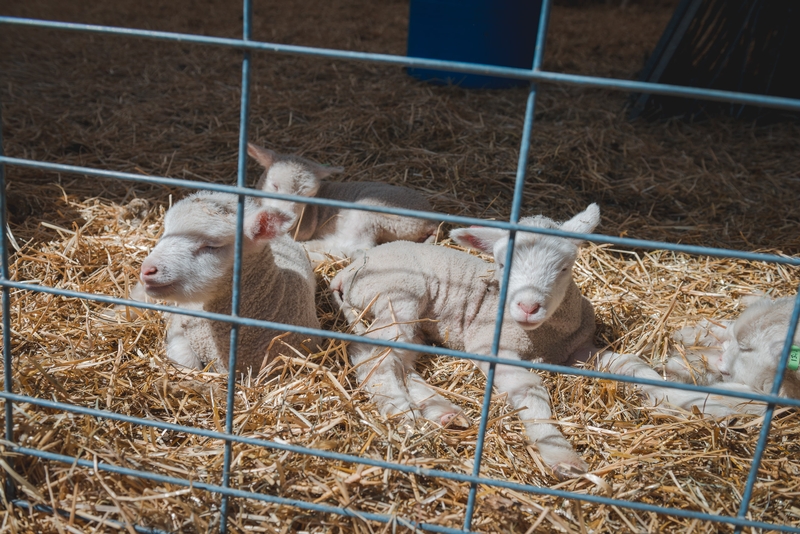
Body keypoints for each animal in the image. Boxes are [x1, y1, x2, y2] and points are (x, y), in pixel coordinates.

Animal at [248, 144, 438, 264]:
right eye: (275, 185)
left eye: (310, 195)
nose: (291, 219)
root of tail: (432, 222)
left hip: (374, 215)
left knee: (357, 247)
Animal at [332, 204, 600, 478]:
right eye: (502, 264)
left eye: (564, 268)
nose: (528, 307)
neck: (545, 338)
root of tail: (346, 271)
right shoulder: (488, 344)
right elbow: (530, 387)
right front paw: (562, 456)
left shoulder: (580, 347)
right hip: (397, 294)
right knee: (371, 354)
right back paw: (401, 410)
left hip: (412, 320)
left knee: (401, 361)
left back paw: (444, 412)